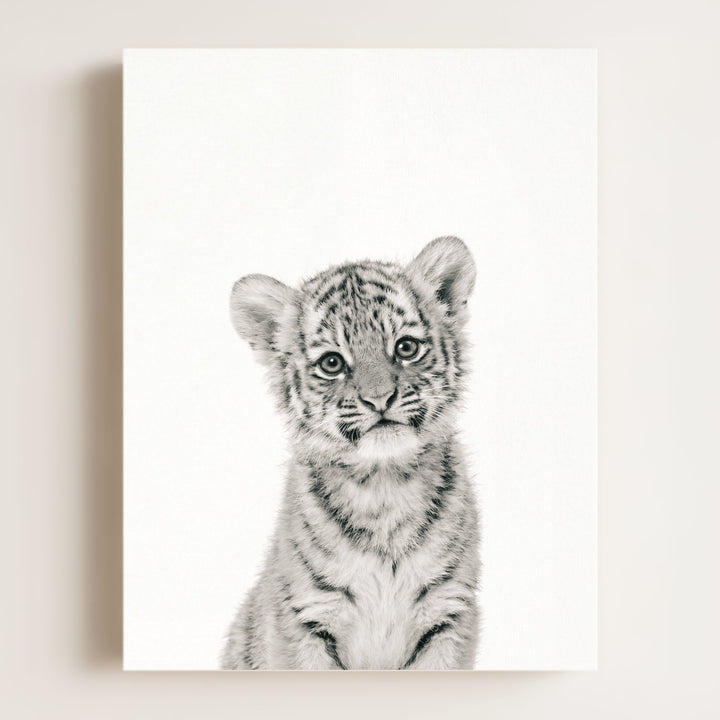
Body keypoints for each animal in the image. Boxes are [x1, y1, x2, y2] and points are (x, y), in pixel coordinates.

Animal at [221, 236, 480, 670]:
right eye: (332, 363)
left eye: (406, 347)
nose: (380, 399)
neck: (384, 486)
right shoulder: (306, 619)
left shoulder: (448, 613)